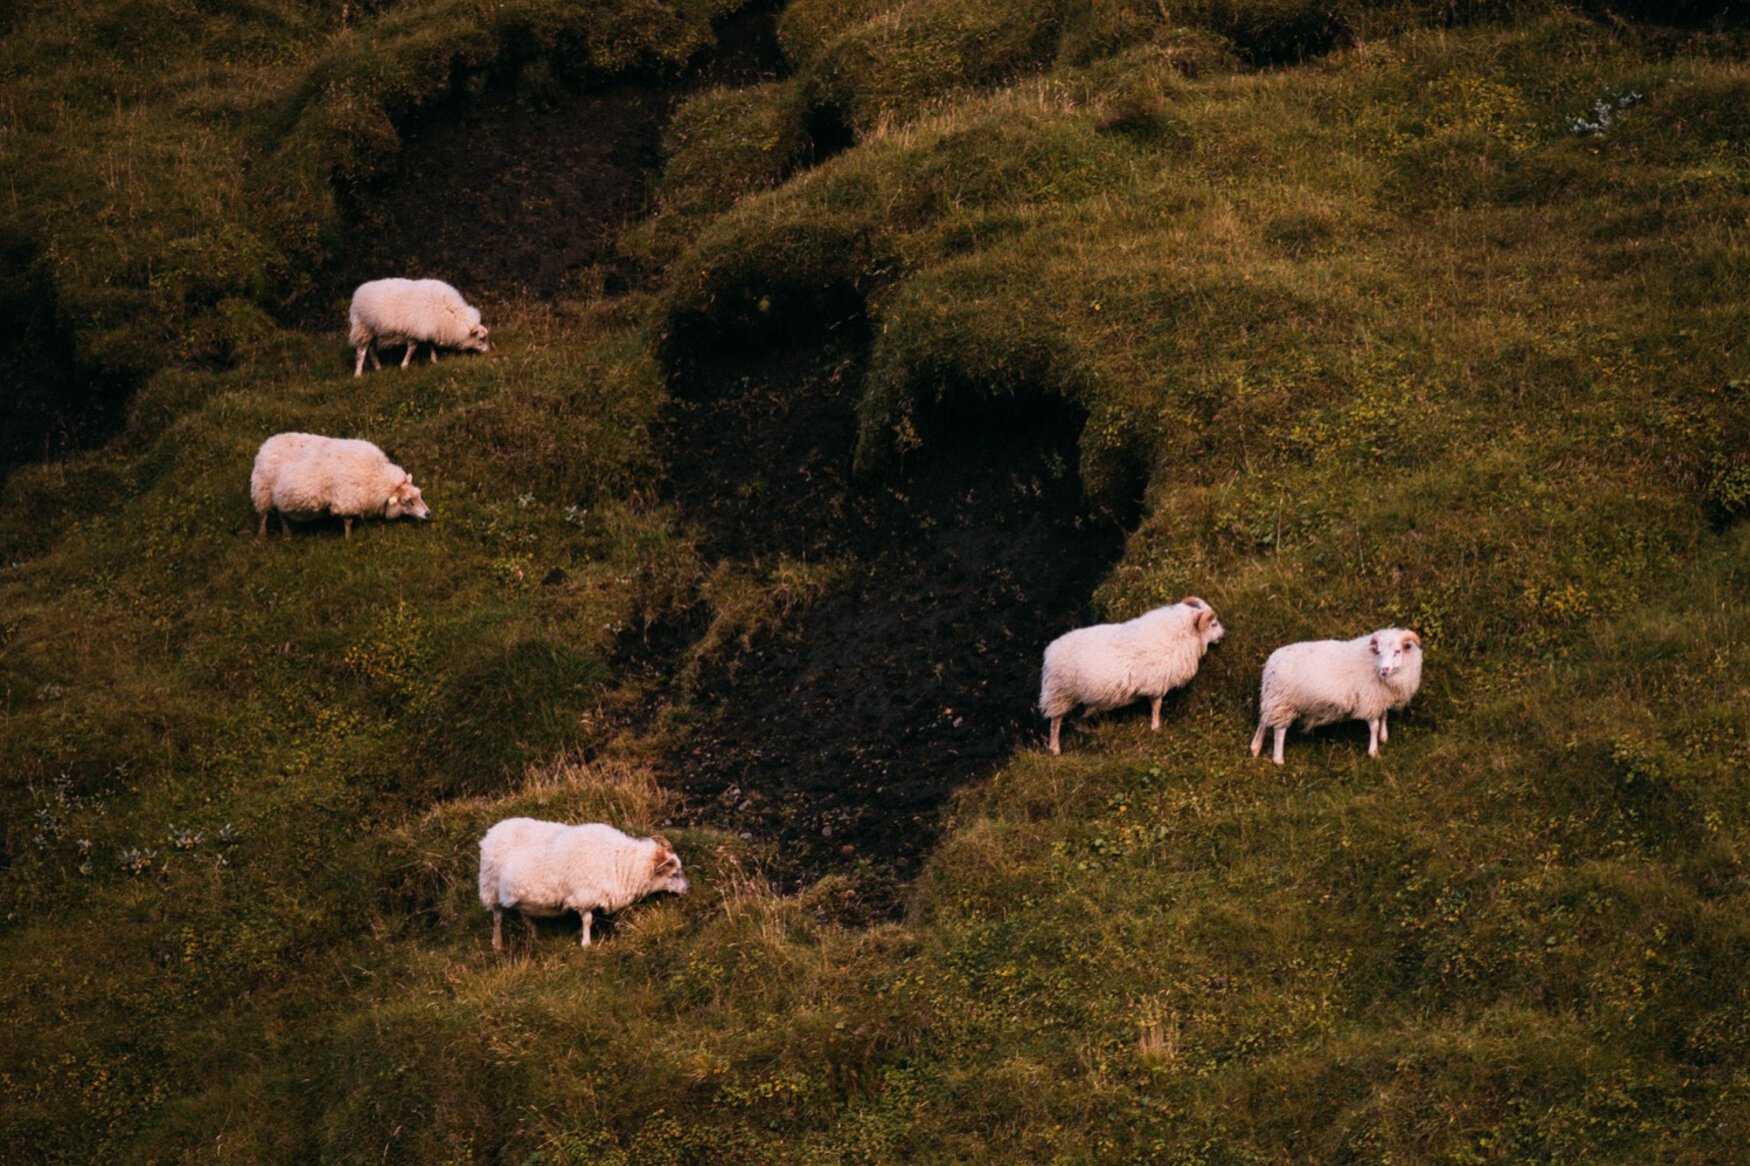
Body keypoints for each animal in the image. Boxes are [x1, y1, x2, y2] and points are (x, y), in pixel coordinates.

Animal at [250, 428, 430, 539]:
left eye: (420, 495)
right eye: (407, 501)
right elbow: (348, 521)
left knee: (281, 513)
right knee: (263, 515)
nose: (428, 513)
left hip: (279, 495)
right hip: (262, 490)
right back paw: (262, 536)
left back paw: (287, 535)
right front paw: (349, 539)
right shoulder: (347, 501)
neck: (375, 475)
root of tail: (266, 444)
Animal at [348, 276, 490, 376]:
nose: (488, 351)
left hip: (374, 329)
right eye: (481, 338)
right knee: (361, 351)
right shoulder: (415, 329)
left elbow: (432, 345)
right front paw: (404, 365)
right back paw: (358, 374)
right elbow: (412, 348)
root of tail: (358, 292)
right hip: (363, 327)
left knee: (371, 349)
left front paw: (434, 360)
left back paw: (378, 368)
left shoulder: (431, 327)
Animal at [483, 812, 693, 952]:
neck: (622, 861)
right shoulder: (585, 895)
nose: (688, 888)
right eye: (674, 874)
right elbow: (588, 919)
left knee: (524, 913)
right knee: (498, 916)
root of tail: (493, 831)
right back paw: (498, 944)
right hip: (490, 887)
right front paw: (586, 944)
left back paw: (534, 935)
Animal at [1036, 591, 1232, 752]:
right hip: (1059, 694)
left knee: (1075, 718)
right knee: (1056, 723)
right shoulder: (1157, 681)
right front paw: (1156, 728)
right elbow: (1156, 705)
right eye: (1213, 624)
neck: (1179, 634)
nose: (1224, 634)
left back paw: (1087, 730)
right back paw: (1055, 749)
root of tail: (1050, 652)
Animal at [1246, 626, 1421, 763]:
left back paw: (1255, 748)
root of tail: (1271, 663)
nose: (1384, 669)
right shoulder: (1369, 700)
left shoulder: (1380, 697)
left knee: (1264, 721)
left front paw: (1383, 738)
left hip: (1272, 699)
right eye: (1378, 652)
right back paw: (1278, 760)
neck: (1372, 662)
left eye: (1397, 651)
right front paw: (1374, 752)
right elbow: (1374, 726)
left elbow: (1384, 716)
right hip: (1284, 702)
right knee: (1279, 731)